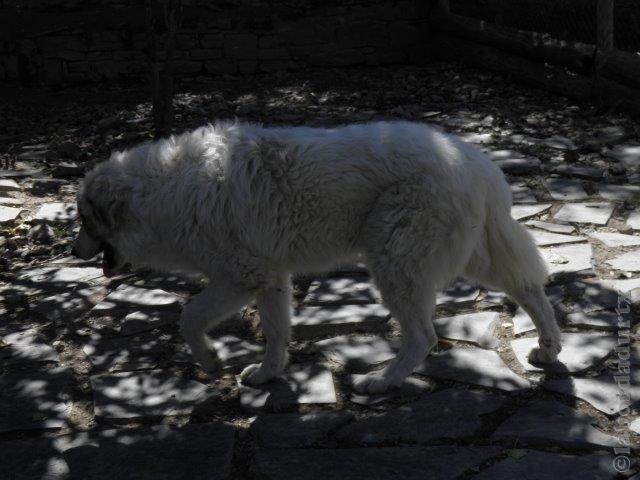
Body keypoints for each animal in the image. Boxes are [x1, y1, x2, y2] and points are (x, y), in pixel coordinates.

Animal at [71, 121, 560, 394]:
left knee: (424, 337)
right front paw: (267, 376)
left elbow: (188, 318)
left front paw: (209, 360)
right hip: (467, 258)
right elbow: (276, 335)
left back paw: (381, 383)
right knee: (529, 288)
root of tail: (478, 162)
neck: (162, 192)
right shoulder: (269, 279)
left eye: (84, 220)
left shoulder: (239, 278)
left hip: (396, 267)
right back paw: (549, 348)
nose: (72, 252)